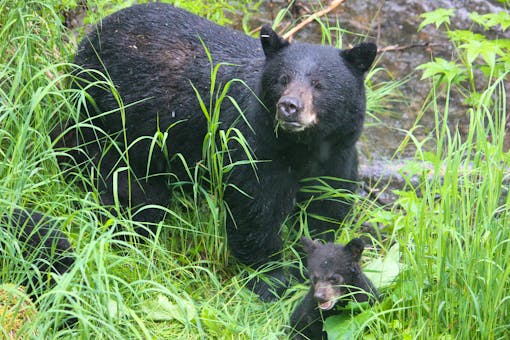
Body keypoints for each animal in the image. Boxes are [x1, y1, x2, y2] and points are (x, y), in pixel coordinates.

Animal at [60, 3, 378, 300]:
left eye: (319, 84)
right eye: (283, 79)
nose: (289, 106)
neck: (302, 147)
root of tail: (96, 29)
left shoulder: (337, 156)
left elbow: (327, 209)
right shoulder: (254, 147)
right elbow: (256, 214)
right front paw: (270, 282)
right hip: (107, 114)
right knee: (120, 179)